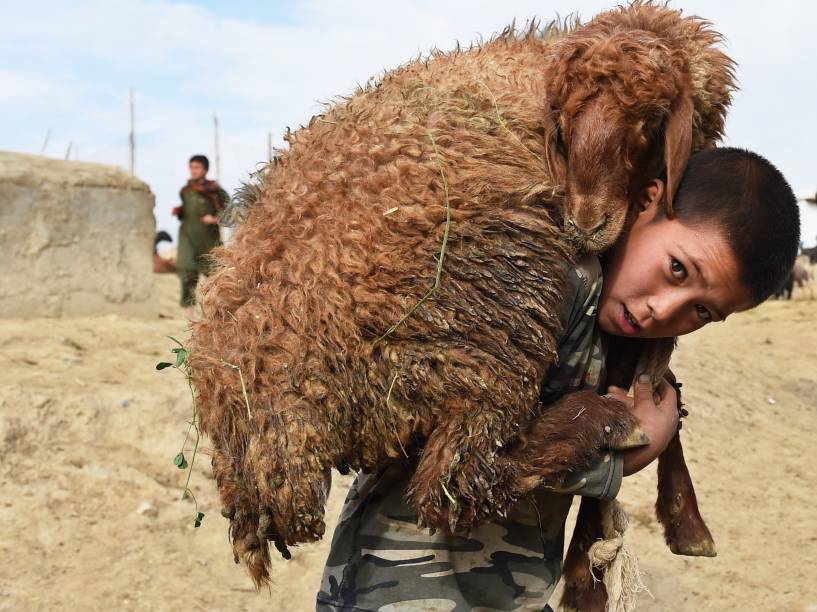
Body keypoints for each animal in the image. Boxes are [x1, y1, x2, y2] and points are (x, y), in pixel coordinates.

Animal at [190, 3, 732, 588]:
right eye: (563, 124)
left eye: (653, 121)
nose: (583, 225)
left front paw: (684, 522)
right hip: (486, 323)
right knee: (454, 484)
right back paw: (602, 422)